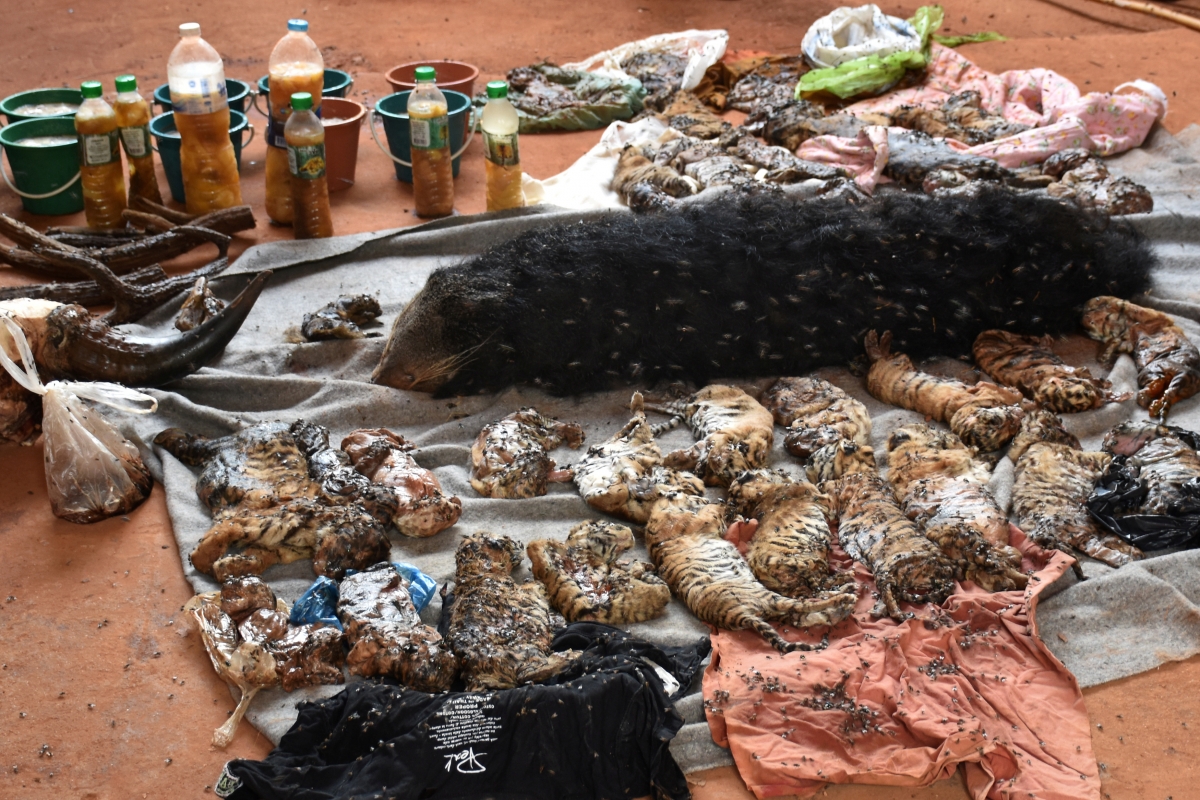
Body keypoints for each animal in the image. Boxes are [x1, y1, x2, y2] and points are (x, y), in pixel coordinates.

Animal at [644, 489, 855, 654]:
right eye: (696, 498)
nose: (707, 498)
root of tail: (740, 616)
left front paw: (734, 513)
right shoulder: (702, 519)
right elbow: (715, 511)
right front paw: (727, 505)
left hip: (774, 608)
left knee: (803, 616)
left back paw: (842, 606)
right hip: (771, 598)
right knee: (807, 605)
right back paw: (845, 599)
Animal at [972, 329, 1127, 413]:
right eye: (1085, 406)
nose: (1101, 399)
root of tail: (979, 337)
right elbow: (1087, 374)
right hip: (1017, 340)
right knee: (1028, 339)